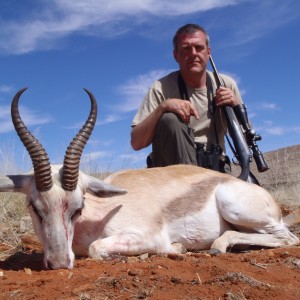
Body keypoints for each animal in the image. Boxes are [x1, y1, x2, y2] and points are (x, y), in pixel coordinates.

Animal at [0, 87, 298, 270]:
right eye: (34, 207)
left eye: (78, 207)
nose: (60, 263)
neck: (97, 214)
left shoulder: (148, 236)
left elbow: (97, 248)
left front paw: (176, 247)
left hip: (235, 207)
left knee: (288, 238)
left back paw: (217, 246)